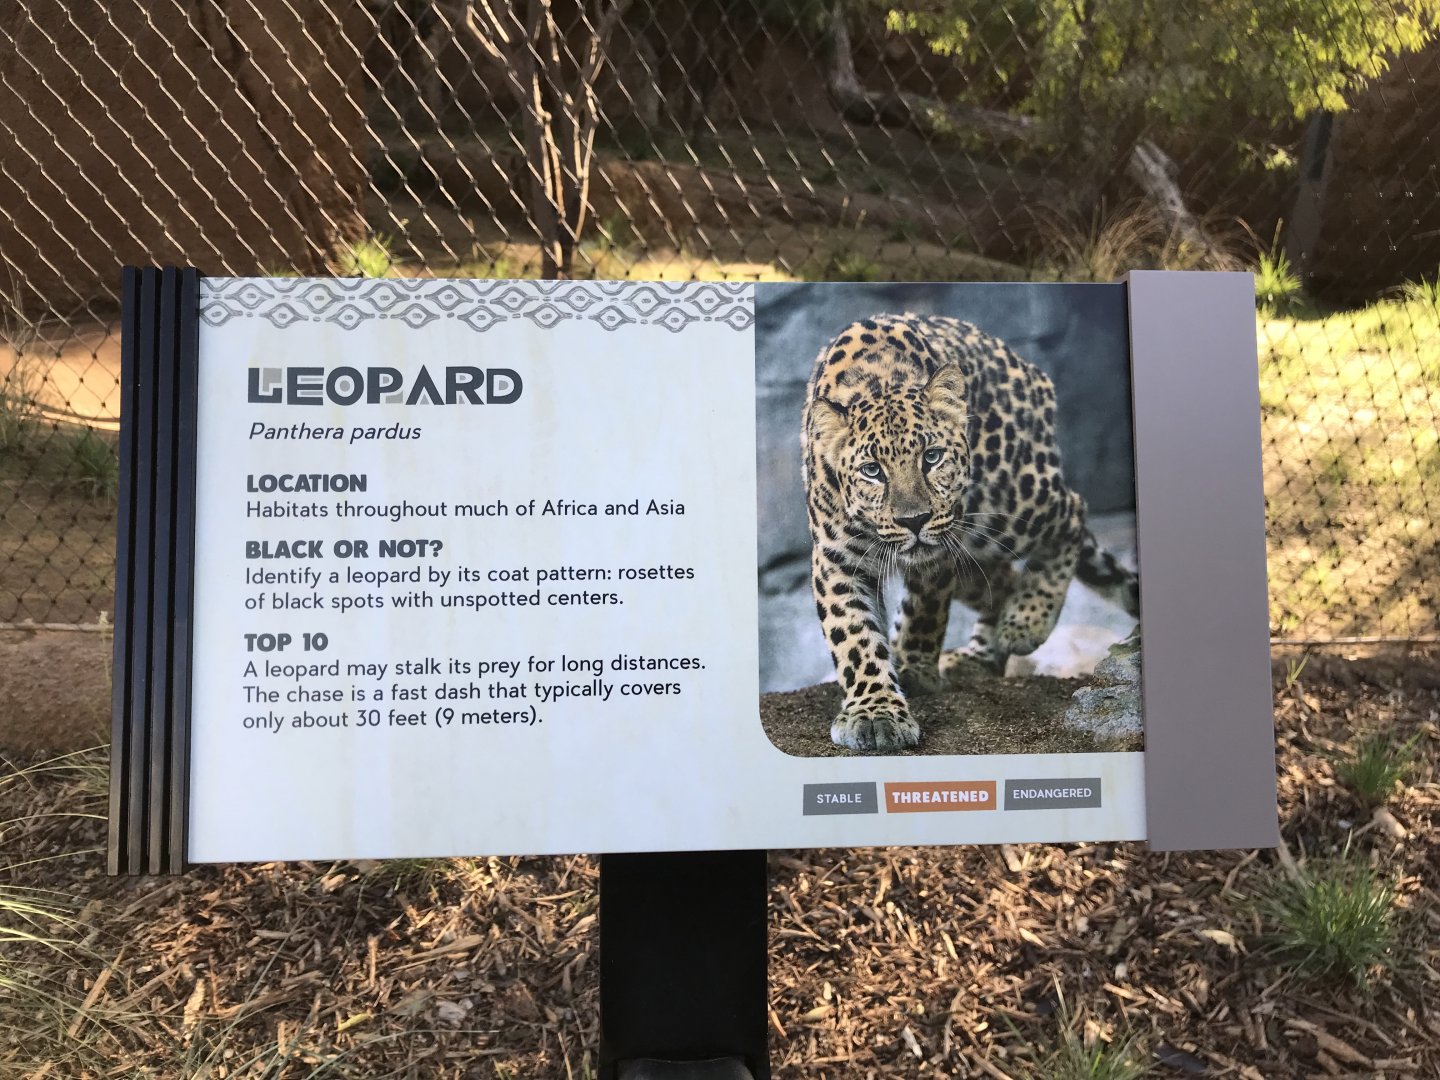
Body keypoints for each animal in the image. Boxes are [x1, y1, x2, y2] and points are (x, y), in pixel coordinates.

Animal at [802, 313, 1140, 752]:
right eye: (872, 470)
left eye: (932, 457)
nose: (914, 520)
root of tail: (1030, 370)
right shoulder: (837, 559)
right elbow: (855, 637)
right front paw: (875, 712)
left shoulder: (938, 549)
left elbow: (923, 613)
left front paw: (914, 670)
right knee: (1003, 579)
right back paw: (979, 656)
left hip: (1007, 503)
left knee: (1072, 511)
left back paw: (1025, 623)